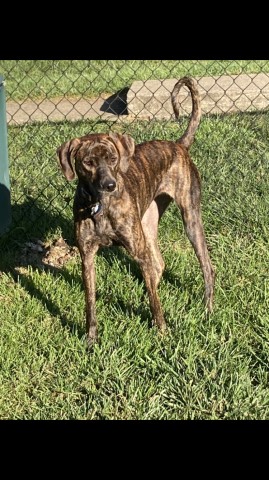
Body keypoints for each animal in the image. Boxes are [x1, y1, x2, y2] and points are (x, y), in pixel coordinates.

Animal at [56, 77, 214, 344]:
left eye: (112, 158)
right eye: (87, 162)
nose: (110, 184)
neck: (102, 206)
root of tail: (179, 145)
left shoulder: (137, 251)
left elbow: (155, 303)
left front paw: (162, 332)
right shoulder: (87, 256)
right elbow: (90, 302)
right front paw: (91, 338)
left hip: (191, 219)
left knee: (204, 267)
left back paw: (207, 308)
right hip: (148, 224)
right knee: (157, 266)